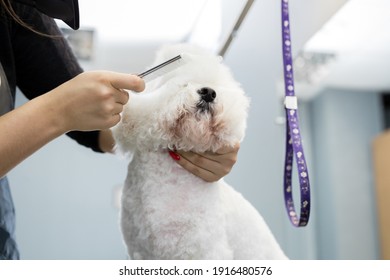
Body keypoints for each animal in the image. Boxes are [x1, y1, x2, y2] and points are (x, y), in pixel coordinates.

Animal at [111, 43, 288, 260]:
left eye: (215, 85)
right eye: (184, 83)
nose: (209, 92)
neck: (169, 179)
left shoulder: (203, 249)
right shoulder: (139, 251)